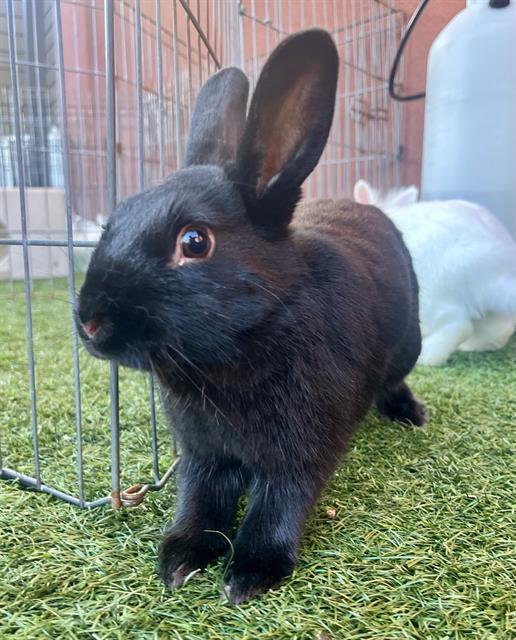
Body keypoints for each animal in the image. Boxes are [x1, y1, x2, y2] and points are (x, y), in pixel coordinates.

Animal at [76, 30, 425, 604]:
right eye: (113, 222)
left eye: (195, 242)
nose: (88, 321)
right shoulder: (204, 456)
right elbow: (201, 501)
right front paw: (181, 557)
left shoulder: (300, 451)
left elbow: (277, 504)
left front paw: (250, 573)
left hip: (408, 347)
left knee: (395, 381)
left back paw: (409, 413)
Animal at [354, 179, 516, 366]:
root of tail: (495, 272)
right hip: (492, 315)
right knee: (496, 333)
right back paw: (470, 346)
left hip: (429, 302)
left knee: (459, 325)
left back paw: (425, 357)